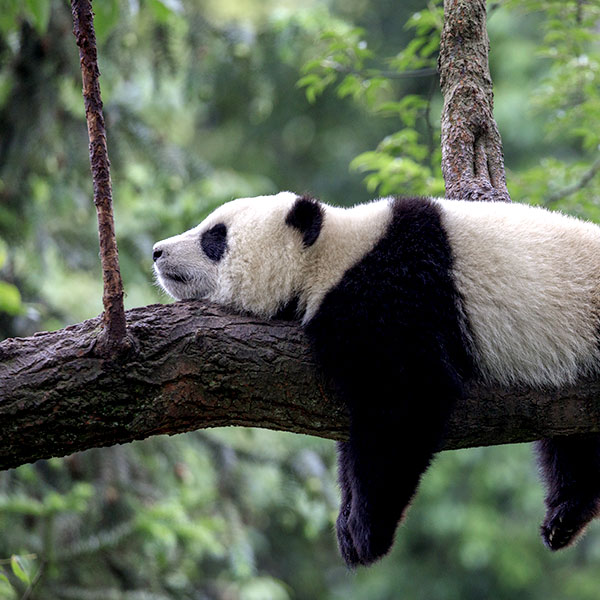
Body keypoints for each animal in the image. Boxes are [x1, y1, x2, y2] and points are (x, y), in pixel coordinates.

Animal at [151, 192, 600, 568]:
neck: (332, 254)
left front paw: (368, 532)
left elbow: (406, 402)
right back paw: (564, 517)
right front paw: (347, 522)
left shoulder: (397, 292)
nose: (156, 251)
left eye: (215, 237)